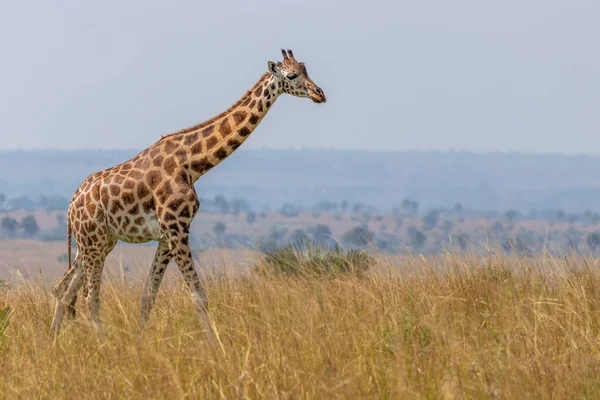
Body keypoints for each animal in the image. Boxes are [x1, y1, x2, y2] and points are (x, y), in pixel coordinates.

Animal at [49, 50, 326, 338]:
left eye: (305, 70)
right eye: (291, 75)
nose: (319, 93)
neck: (193, 164)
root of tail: (71, 205)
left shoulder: (166, 235)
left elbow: (149, 294)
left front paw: (140, 341)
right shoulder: (176, 228)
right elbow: (198, 295)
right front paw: (215, 343)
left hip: (97, 242)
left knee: (63, 289)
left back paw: (54, 340)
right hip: (93, 241)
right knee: (88, 295)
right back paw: (101, 342)